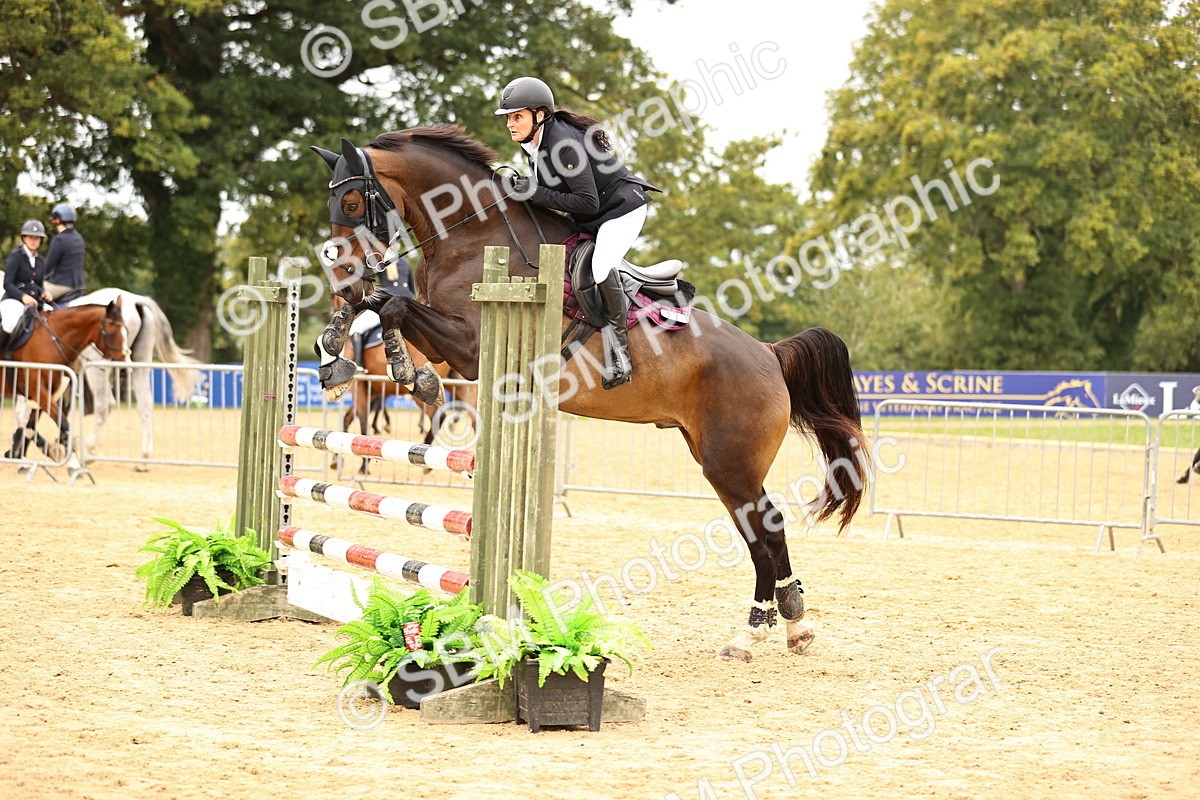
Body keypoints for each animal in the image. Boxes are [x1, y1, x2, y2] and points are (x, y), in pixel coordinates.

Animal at [5, 301, 130, 463]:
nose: (125, 369)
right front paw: (71, 457)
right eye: (111, 333)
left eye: (127, 332)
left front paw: (18, 453)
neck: (51, 340)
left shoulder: (46, 392)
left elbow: (30, 426)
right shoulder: (38, 390)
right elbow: (63, 423)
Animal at [310, 127, 869, 662]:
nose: (343, 281)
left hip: (730, 463)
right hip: (718, 459)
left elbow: (395, 308)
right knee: (765, 533)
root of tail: (771, 354)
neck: (473, 234)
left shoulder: (470, 347)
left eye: (353, 204)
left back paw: (754, 634)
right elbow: (381, 304)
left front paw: (408, 372)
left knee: (765, 532)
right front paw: (335, 352)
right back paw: (792, 626)